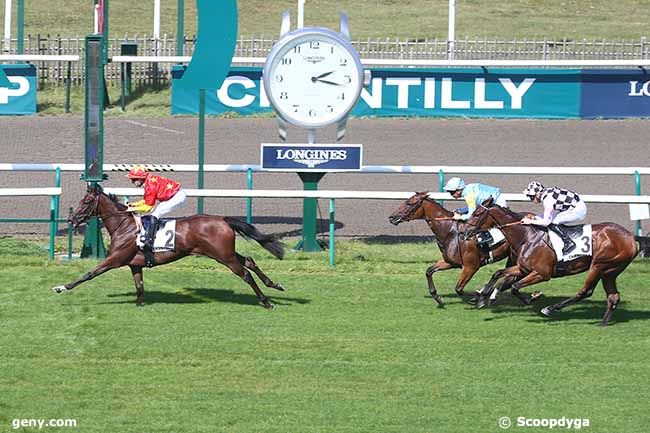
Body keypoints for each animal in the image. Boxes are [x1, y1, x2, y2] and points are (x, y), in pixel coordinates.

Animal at [50, 184, 284, 308]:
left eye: (86, 202)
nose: (71, 220)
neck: (124, 226)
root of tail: (223, 219)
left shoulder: (114, 259)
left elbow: (88, 274)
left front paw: (62, 287)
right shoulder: (135, 265)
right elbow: (140, 286)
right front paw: (140, 304)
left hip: (223, 256)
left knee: (246, 274)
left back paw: (266, 301)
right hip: (224, 252)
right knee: (250, 261)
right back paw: (275, 285)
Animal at [460, 196, 636, 324]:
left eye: (476, 214)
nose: (463, 233)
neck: (527, 237)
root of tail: (631, 237)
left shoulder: (542, 274)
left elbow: (515, 286)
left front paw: (531, 298)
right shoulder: (523, 268)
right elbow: (498, 274)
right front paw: (483, 298)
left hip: (599, 265)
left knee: (586, 291)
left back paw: (550, 308)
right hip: (610, 271)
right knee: (613, 296)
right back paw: (604, 323)